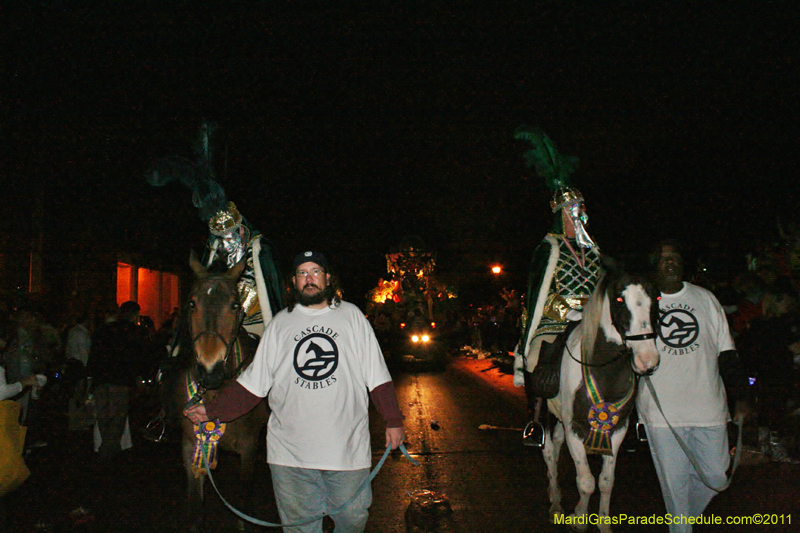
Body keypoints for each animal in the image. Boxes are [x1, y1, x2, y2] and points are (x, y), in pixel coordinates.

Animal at [544, 270, 664, 532]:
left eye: (657, 297)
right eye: (619, 300)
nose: (647, 360)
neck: (603, 369)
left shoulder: (617, 428)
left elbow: (606, 481)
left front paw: (603, 523)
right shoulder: (576, 427)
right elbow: (586, 481)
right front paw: (578, 519)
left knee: (556, 445)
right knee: (548, 453)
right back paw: (555, 503)